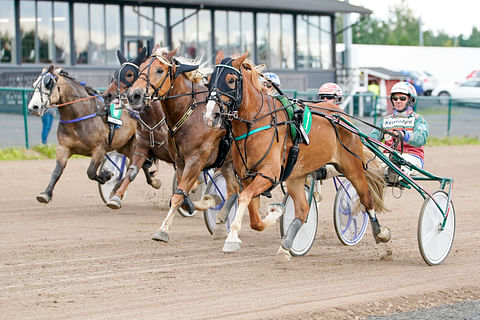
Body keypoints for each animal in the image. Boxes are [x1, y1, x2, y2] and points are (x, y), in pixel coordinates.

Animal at [27, 57, 143, 202]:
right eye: (34, 84)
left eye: (49, 84)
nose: (33, 107)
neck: (80, 116)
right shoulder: (64, 148)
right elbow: (56, 171)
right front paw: (46, 194)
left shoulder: (99, 149)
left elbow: (91, 172)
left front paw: (107, 175)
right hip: (124, 145)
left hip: (134, 144)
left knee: (133, 167)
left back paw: (118, 189)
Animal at [127, 47, 242, 241]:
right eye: (141, 68)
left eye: (160, 70)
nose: (134, 95)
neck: (191, 112)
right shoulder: (180, 162)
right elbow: (182, 196)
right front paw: (208, 201)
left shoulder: (195, 161)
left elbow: (179, 195)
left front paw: (163, 231)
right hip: (227, 162)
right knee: (234, 190)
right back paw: (220, 220)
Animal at [202, 50, 390, 260]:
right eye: (208, 81)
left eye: (231, 80)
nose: (210, 116)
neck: (256, 123)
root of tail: (340, 115)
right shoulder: (247, 176)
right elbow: (254, 217)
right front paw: (275, 213)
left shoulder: (269, 174)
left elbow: (244, 198)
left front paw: (232, 238)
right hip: (296, 176)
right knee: (303, 209)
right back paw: (287, 245)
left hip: (353, 167)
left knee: (366, 198)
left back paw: (380, 232)